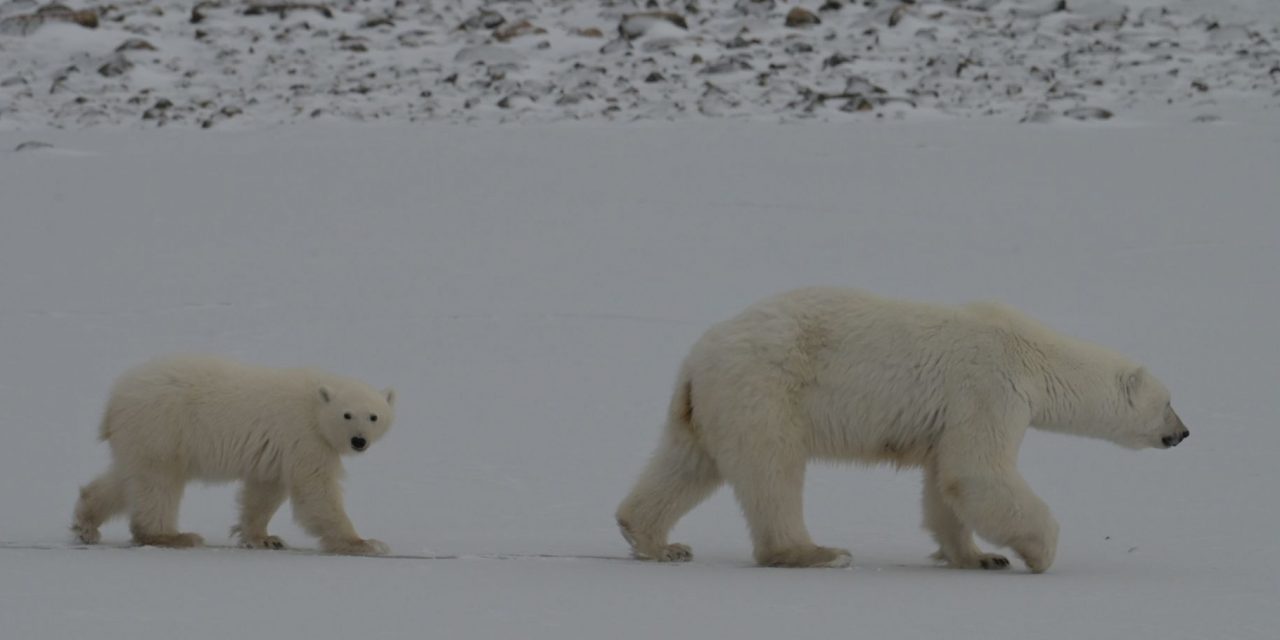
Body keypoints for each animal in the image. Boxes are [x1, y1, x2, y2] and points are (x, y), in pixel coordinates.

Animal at [72, 354, 396, 555]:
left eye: (374, 416)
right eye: (347, 414)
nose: (358, 441)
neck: (314, 404)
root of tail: (115, 399)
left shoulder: (276, 450)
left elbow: (264, 491)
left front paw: (264, 538)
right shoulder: (304, 436)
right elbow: (316, 491)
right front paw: (365, 543)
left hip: (141, 436)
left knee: (125, 479)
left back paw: (86, 524)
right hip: (163, 427)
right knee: (158, 483)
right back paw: (174, 536)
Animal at [616, 287, 1190, 573]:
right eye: (1168, 403)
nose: (1184, 433)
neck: (1032, 354)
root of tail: (696, 358)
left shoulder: (953, 414)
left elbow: (945, 484)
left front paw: (981, 556)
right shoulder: (989, 388)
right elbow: (977, 472)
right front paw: (1039, 553)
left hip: (711, 404)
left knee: (687, 464)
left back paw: (656, 540)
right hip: (766, 391)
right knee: (773, 471)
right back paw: (817, 552)